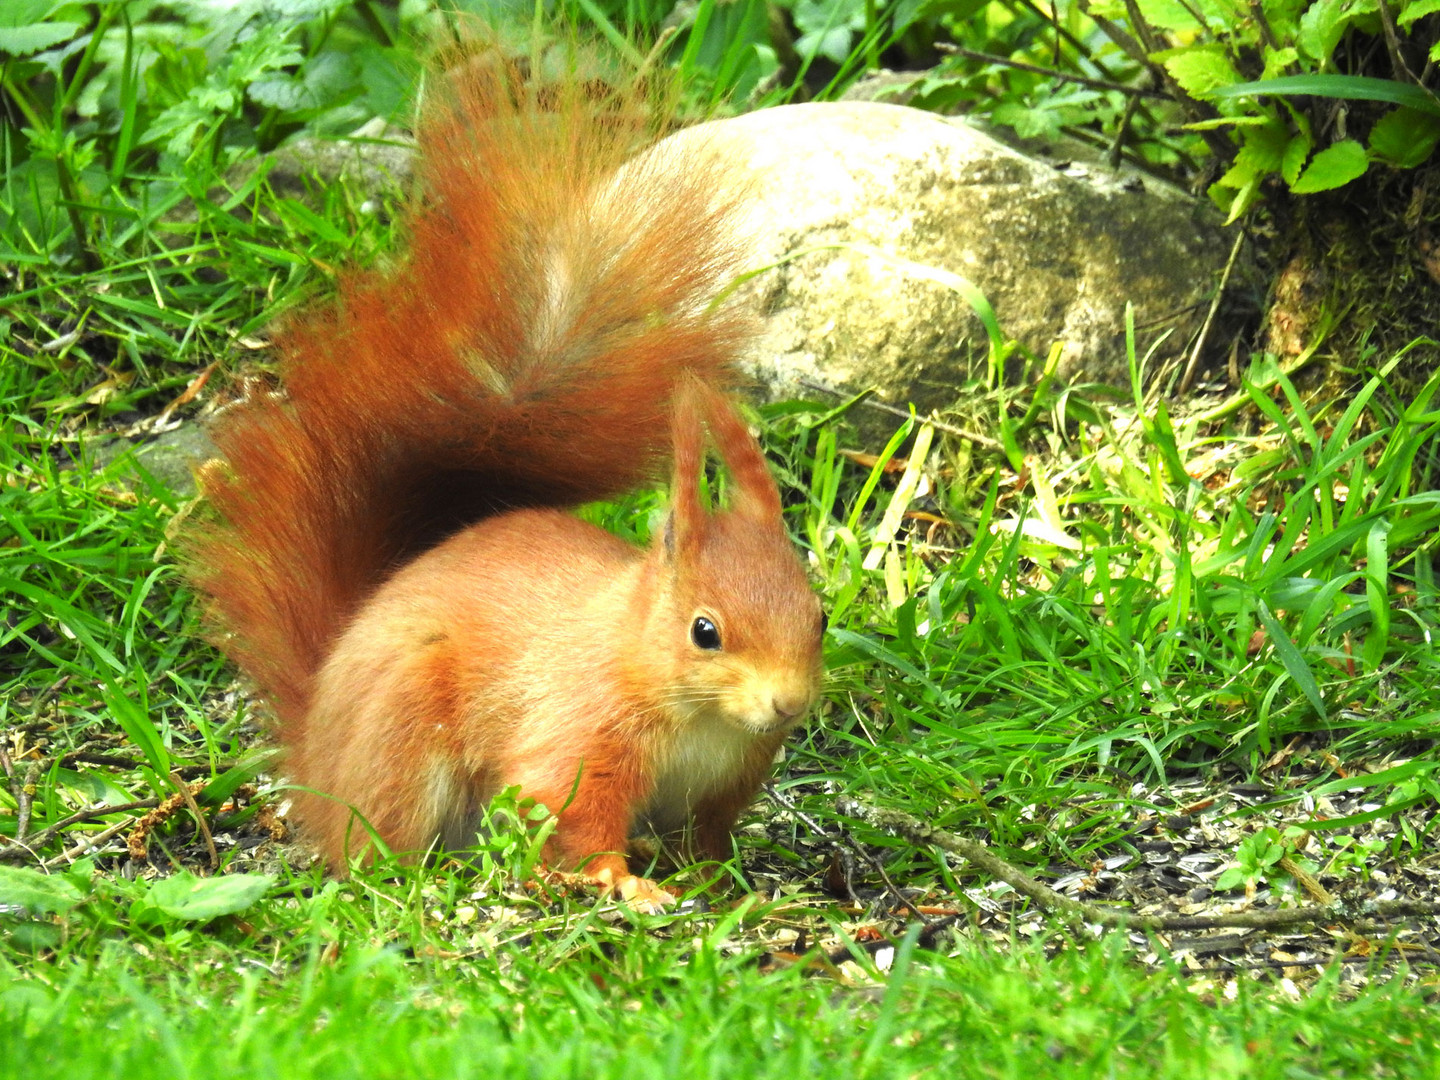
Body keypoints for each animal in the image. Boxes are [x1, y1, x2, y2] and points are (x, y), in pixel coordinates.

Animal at [185, 52, 829, 915]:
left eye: (819, 615)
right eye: (705, 631)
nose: (788, 704)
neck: (698, 716)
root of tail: (316, 761)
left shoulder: (726, 780)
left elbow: (708, 838)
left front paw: (721, 881)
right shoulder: (581, 736)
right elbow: (571, 814)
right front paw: (624, 882)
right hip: (403, 734)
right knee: (377, 849)